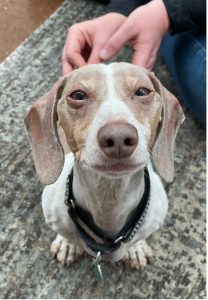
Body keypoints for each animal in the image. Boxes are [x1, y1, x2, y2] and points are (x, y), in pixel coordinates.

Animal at [23, 62, 184, 272]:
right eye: (78, 95)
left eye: (142, 91)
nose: (118, 137)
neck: (110, 202)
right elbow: (66, 234)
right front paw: (68, 243)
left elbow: (138, 239)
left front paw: (136, 248)